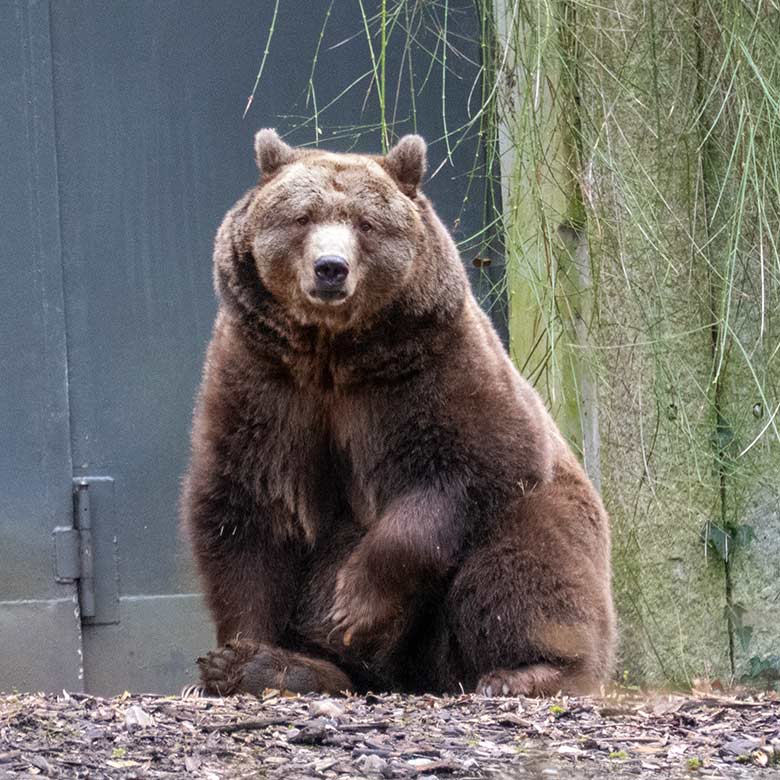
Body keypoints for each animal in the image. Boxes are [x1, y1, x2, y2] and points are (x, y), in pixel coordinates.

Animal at [181, 131, 616, 696]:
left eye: (366, 224)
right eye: (301, 217)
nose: (330, 267)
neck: (331, 353)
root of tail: (411, 677)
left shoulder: (432, 369)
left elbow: (475, 466)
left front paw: (352, 602)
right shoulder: (262, 384)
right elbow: (246, 511)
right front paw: (239, 655)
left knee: (522, 561)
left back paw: (526, 672)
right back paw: (297, 668)